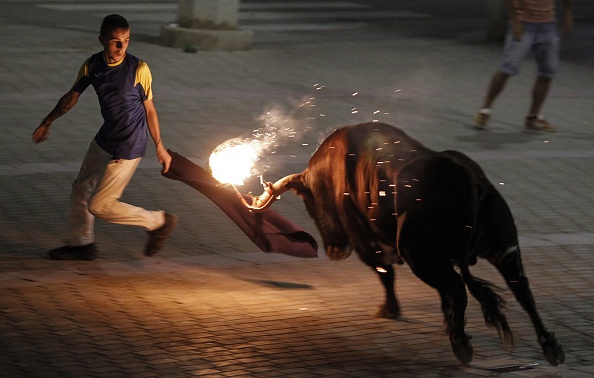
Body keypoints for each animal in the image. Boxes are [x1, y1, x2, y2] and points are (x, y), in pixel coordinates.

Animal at [251, 122, 564, 364]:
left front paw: (390, 310)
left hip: (421, 258)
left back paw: (461, 343)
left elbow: (387, 275)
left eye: (311, 205)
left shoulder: (369, 245)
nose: (334, 250)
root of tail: (468, 181)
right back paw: (550, 346)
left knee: (459, 288)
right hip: (504, 250)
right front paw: (446, 319)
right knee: (522, 290)